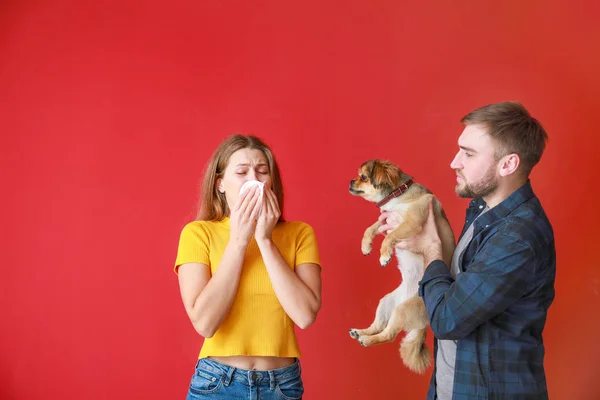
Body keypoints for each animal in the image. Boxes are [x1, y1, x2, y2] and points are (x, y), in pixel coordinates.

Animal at [346, 158, 454, 374]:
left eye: (363, 177)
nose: (351, 181)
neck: (397, 197)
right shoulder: (386, 220)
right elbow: (370, 228)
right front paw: (366, 246)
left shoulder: (411, 222)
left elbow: (389, 237)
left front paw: (384, 256)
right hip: (386, 303)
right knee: (379, 326)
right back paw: (361, 333)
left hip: (402, 311)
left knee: (388, 335)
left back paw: (366, 340)